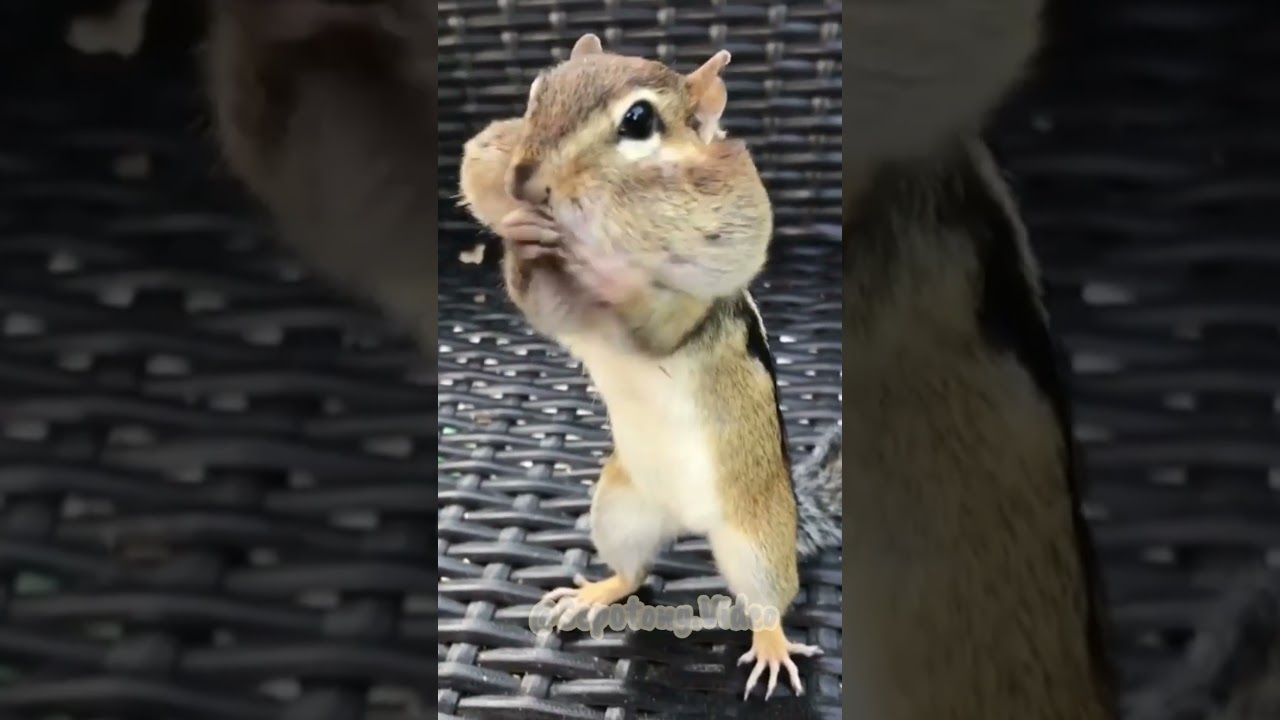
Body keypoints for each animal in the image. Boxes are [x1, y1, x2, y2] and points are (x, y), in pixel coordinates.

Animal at [457, 34, 836, 700]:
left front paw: (611, 269)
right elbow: (541, 300)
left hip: (757, 545)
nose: (523, 182)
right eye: (536, 92)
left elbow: (651, 317)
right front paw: (522, 233)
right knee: (634, 574)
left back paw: (772, 647)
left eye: (638, 121)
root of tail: (685, 522)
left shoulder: (685, 309)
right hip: (617, 510)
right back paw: (593, 593)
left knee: (769, 602)